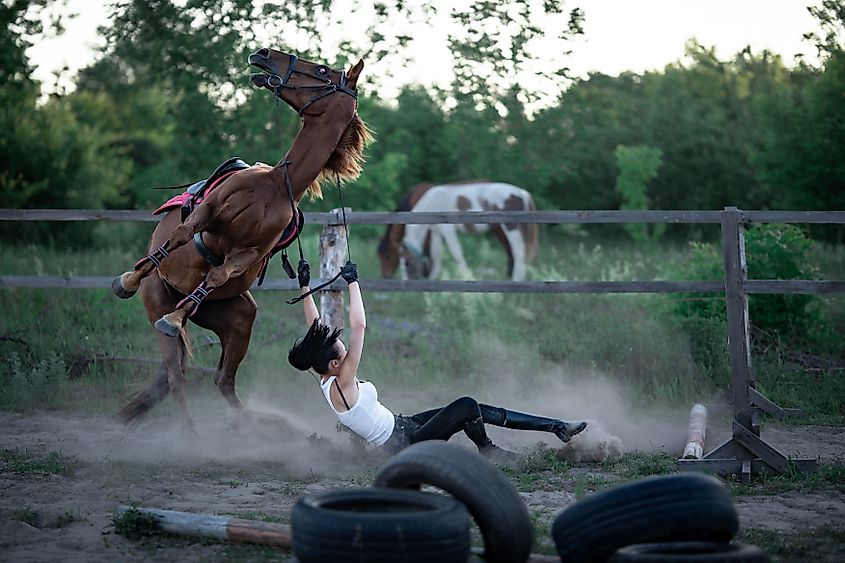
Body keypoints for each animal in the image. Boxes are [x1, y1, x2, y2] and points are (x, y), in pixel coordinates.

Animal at [111, 48, 371, 433]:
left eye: (322, 70)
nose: (263, 55)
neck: (275, 185)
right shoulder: (209, 213)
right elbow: (180, 236)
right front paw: (127, 279)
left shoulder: (249, 253)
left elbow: (218, 273)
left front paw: (175, 315)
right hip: (158, 297)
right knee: (178, 379)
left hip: (238, 320)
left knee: (216, 379)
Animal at [377, 182, 538, 281]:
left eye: (406, 262)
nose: (406, 280)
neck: (432, 201)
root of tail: (522, 193)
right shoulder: (435, 231)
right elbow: (436, 253)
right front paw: (434, 277)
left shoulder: (447, 230)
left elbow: (456, 252)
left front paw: (467, 276)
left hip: (511, 228)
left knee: (518, 252)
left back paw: (516, 279)